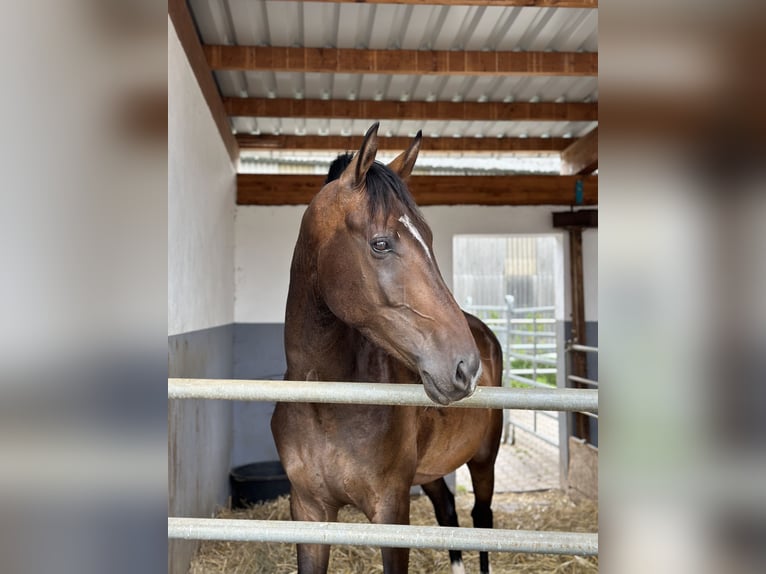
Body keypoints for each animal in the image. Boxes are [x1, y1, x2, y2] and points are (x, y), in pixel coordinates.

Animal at [272, 124, 508, 572]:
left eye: (429, 238)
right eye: (381, 243)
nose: (465, 367)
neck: (326, 405)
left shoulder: (391, 512)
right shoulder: (308, 511)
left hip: (484, 459)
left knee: (481, 518)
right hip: (430, 472)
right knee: (448, 511)